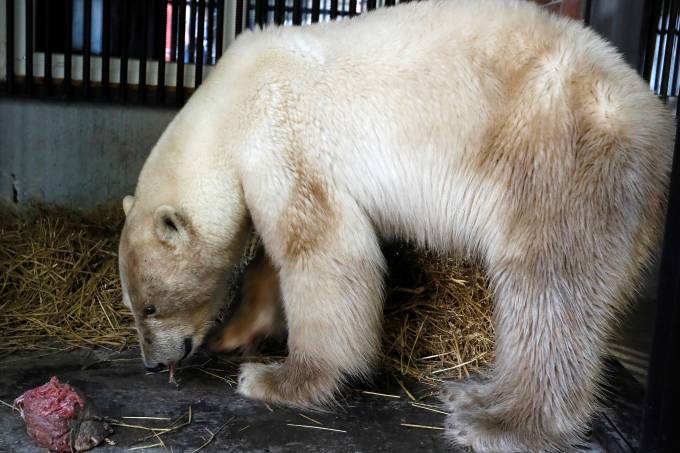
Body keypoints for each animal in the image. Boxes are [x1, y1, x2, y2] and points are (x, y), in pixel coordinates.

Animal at [117, 1, 675, 451]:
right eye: (131, 305)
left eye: (150, 306)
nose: (151, 364)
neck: (230, 103)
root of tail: (653, 121)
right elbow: (278, 265)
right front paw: (236, 333)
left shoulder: (282, 136)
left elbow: (323, 250)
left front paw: (279, 380)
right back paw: (474, 392)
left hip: (558, 161)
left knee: (548, 290)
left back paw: (499, 423)